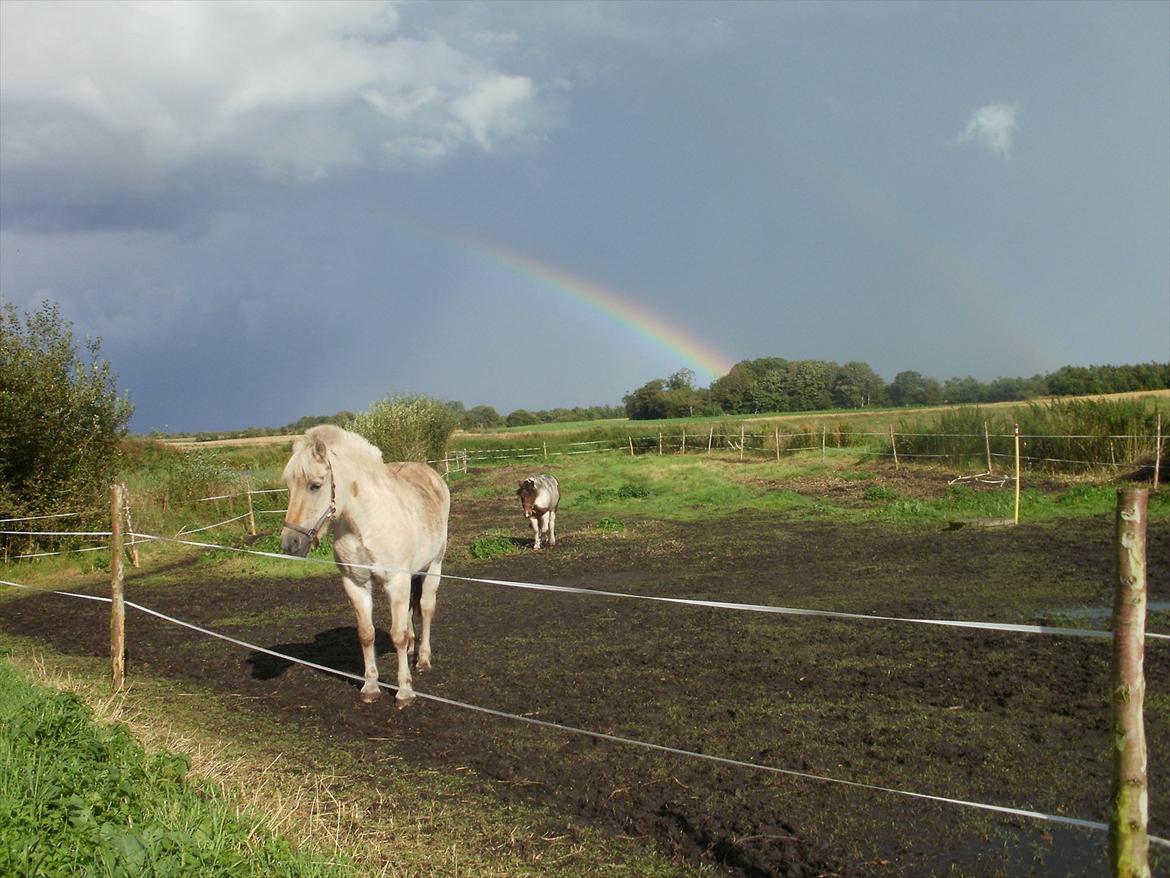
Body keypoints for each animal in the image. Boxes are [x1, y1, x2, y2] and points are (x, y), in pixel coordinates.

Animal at [280, 423, 449, 711]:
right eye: (289, 486)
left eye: (315, 485)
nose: (291, 543)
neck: (365, 521)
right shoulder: (355, 584)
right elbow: (366, 634)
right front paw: (370, 688)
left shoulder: (396, 582)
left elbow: (397, 635)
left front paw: (404, 692)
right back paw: (413, 649)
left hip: (433, 567)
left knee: (426, 608)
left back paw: (423, 659)